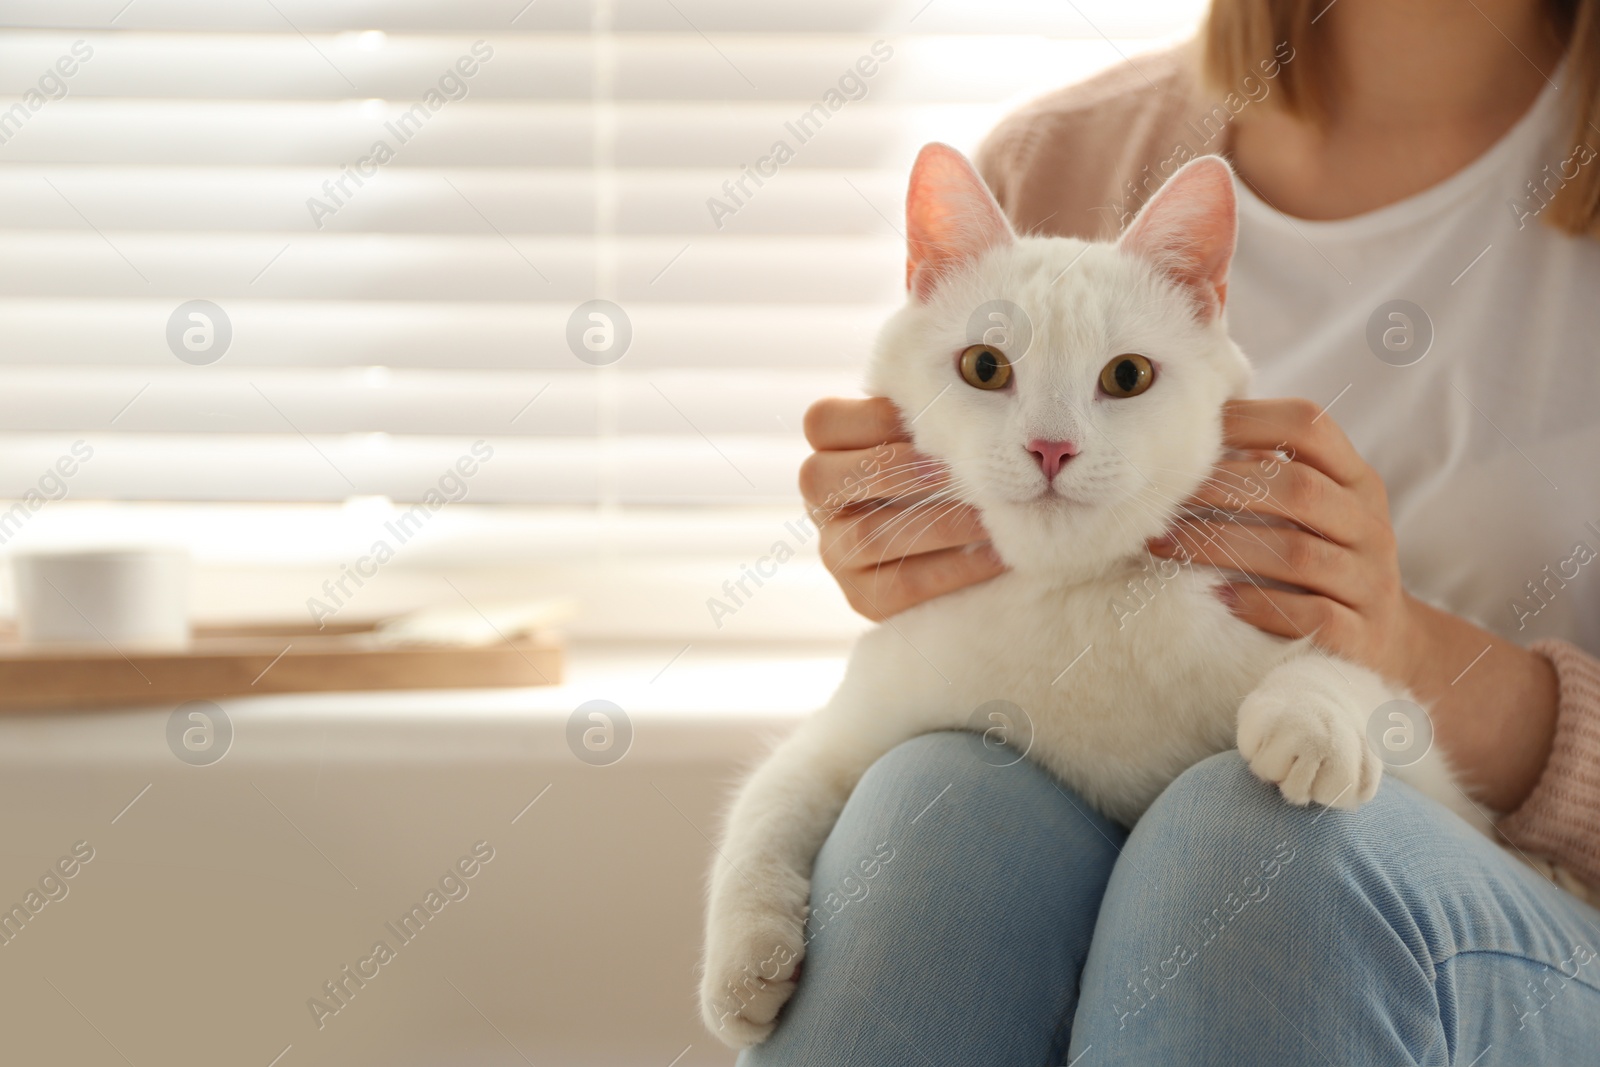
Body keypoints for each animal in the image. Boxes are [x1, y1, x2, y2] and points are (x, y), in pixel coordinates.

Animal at [700, 143, 1484, 1049]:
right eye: (984, 366)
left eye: (1128, 376)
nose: (1051, 447)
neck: (1073, 605)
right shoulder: (849, 729)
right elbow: (768, 802)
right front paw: (742, 965)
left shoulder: (1431, 762)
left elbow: (1358, 678)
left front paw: (1311, 722)